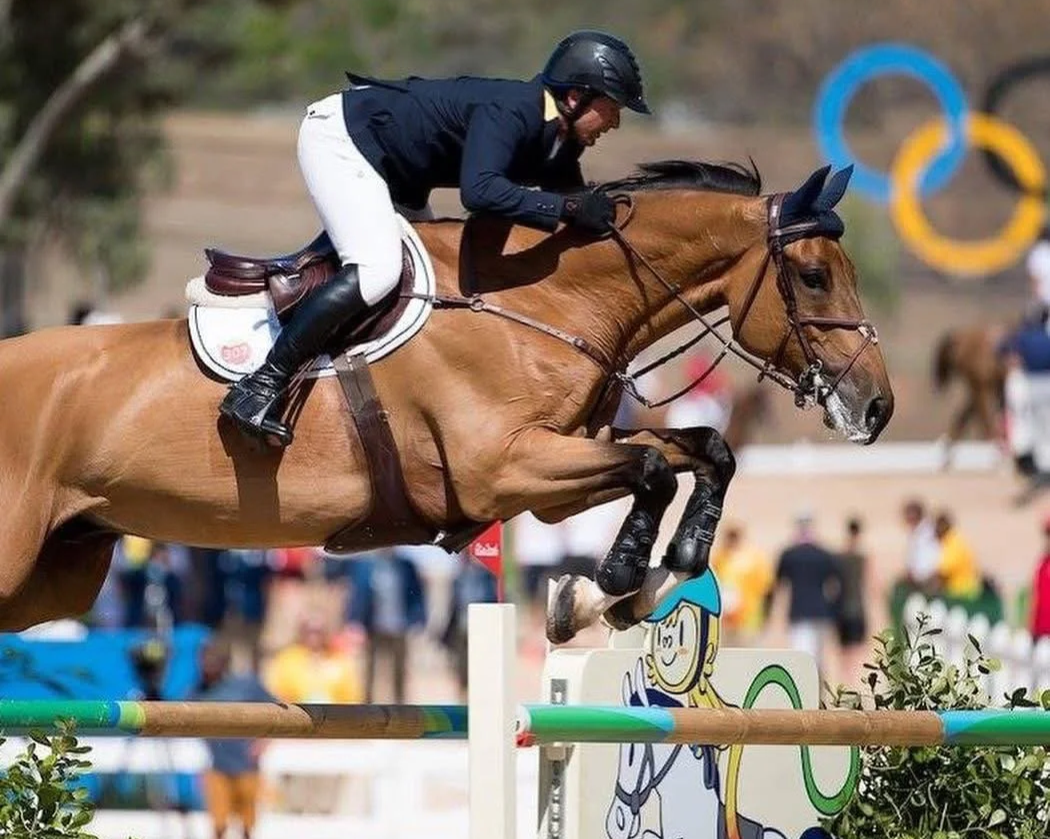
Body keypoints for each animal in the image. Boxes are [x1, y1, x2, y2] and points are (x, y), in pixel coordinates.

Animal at [0, 160, 892, 640]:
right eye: (814, 276)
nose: (877, 407)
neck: (539, 299)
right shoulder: (504, 469)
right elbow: (649, 467)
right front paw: (604, 587)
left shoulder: (556, 466)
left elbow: (702, 451)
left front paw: (656, 572)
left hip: (61, 570)